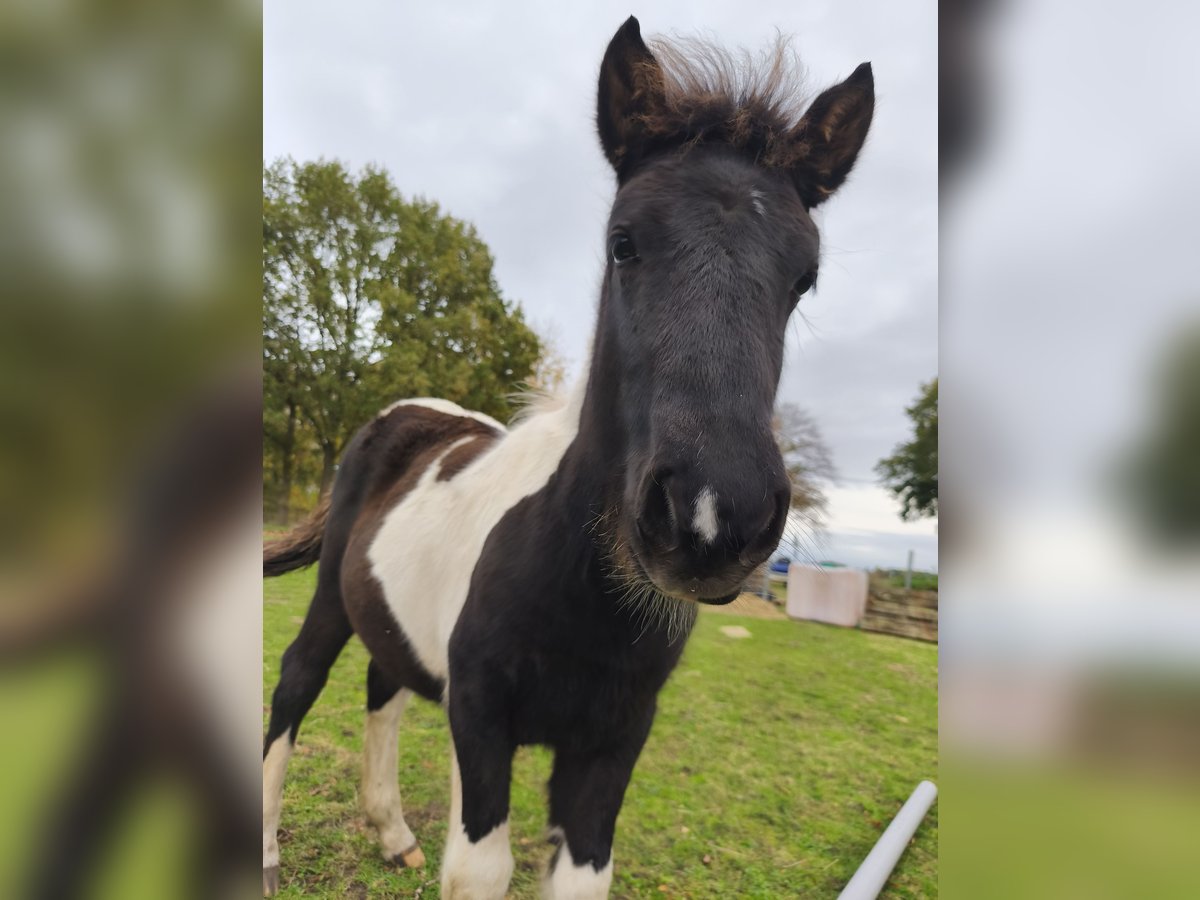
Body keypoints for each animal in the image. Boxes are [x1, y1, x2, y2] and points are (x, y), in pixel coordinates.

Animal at [263, 16, 874, 899]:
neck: (582, 588)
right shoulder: (481, 717)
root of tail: (409, 413)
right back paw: (266, 849)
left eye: (806, 277)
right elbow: (481, 869)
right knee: (297, 681)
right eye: (623, 243)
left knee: (384, 686)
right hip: (329, 604)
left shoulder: (613, 741)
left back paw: (392, 833)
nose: (712, 519)